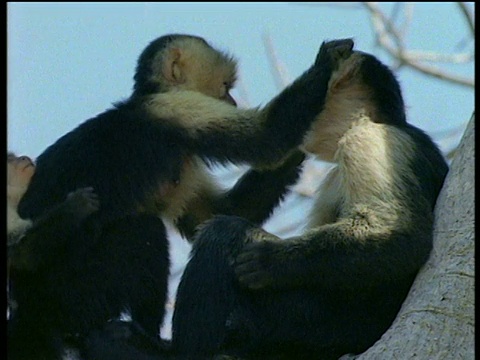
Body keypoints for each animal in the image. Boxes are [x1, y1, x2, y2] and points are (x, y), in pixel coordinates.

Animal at [10, 34, 348, 360]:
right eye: (224, 87)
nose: (232, 101)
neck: (153, 94)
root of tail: (23, 303)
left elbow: (218, 212)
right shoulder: (176, 108)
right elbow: (267, 136)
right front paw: (327, 63)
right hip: (69, 295)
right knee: (141, 230)